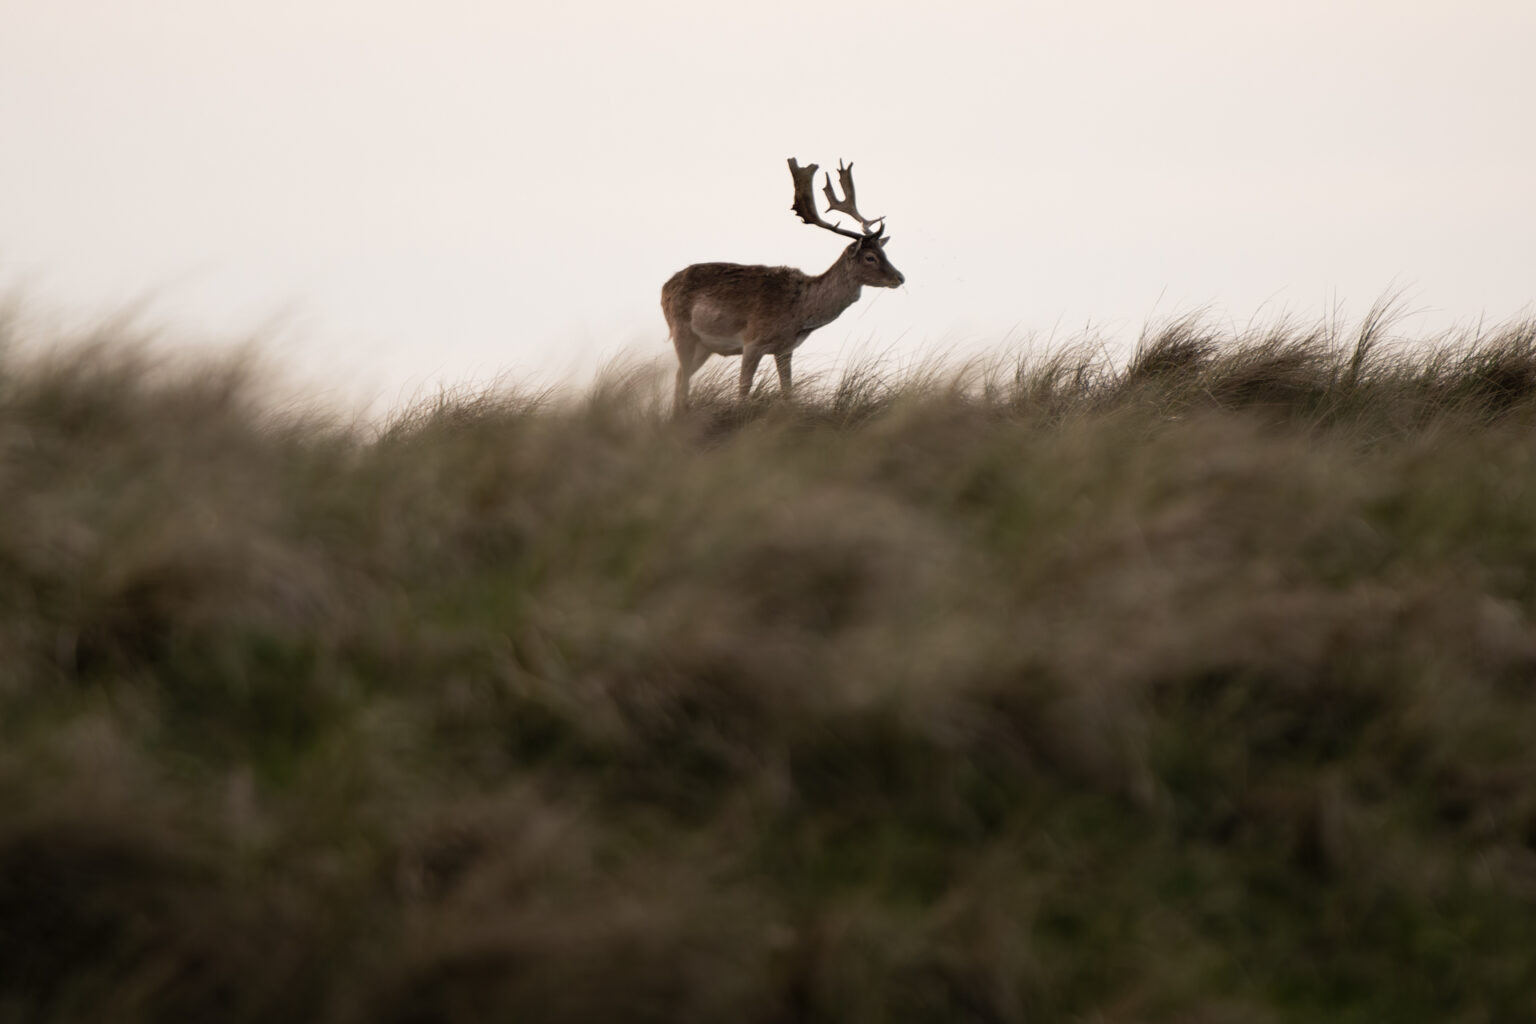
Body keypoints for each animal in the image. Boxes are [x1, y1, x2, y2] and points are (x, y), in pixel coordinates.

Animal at [662, 158, 905, 411]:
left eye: (883, 252)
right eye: (870, 257)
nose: (900, 277)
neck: (798, 313)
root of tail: (664, 287)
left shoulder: (785, 349)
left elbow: (788, 390)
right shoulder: (752, 340)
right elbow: (744, 388)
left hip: (704, 346)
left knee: (681, 376)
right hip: (681, 331)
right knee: (682, 377)